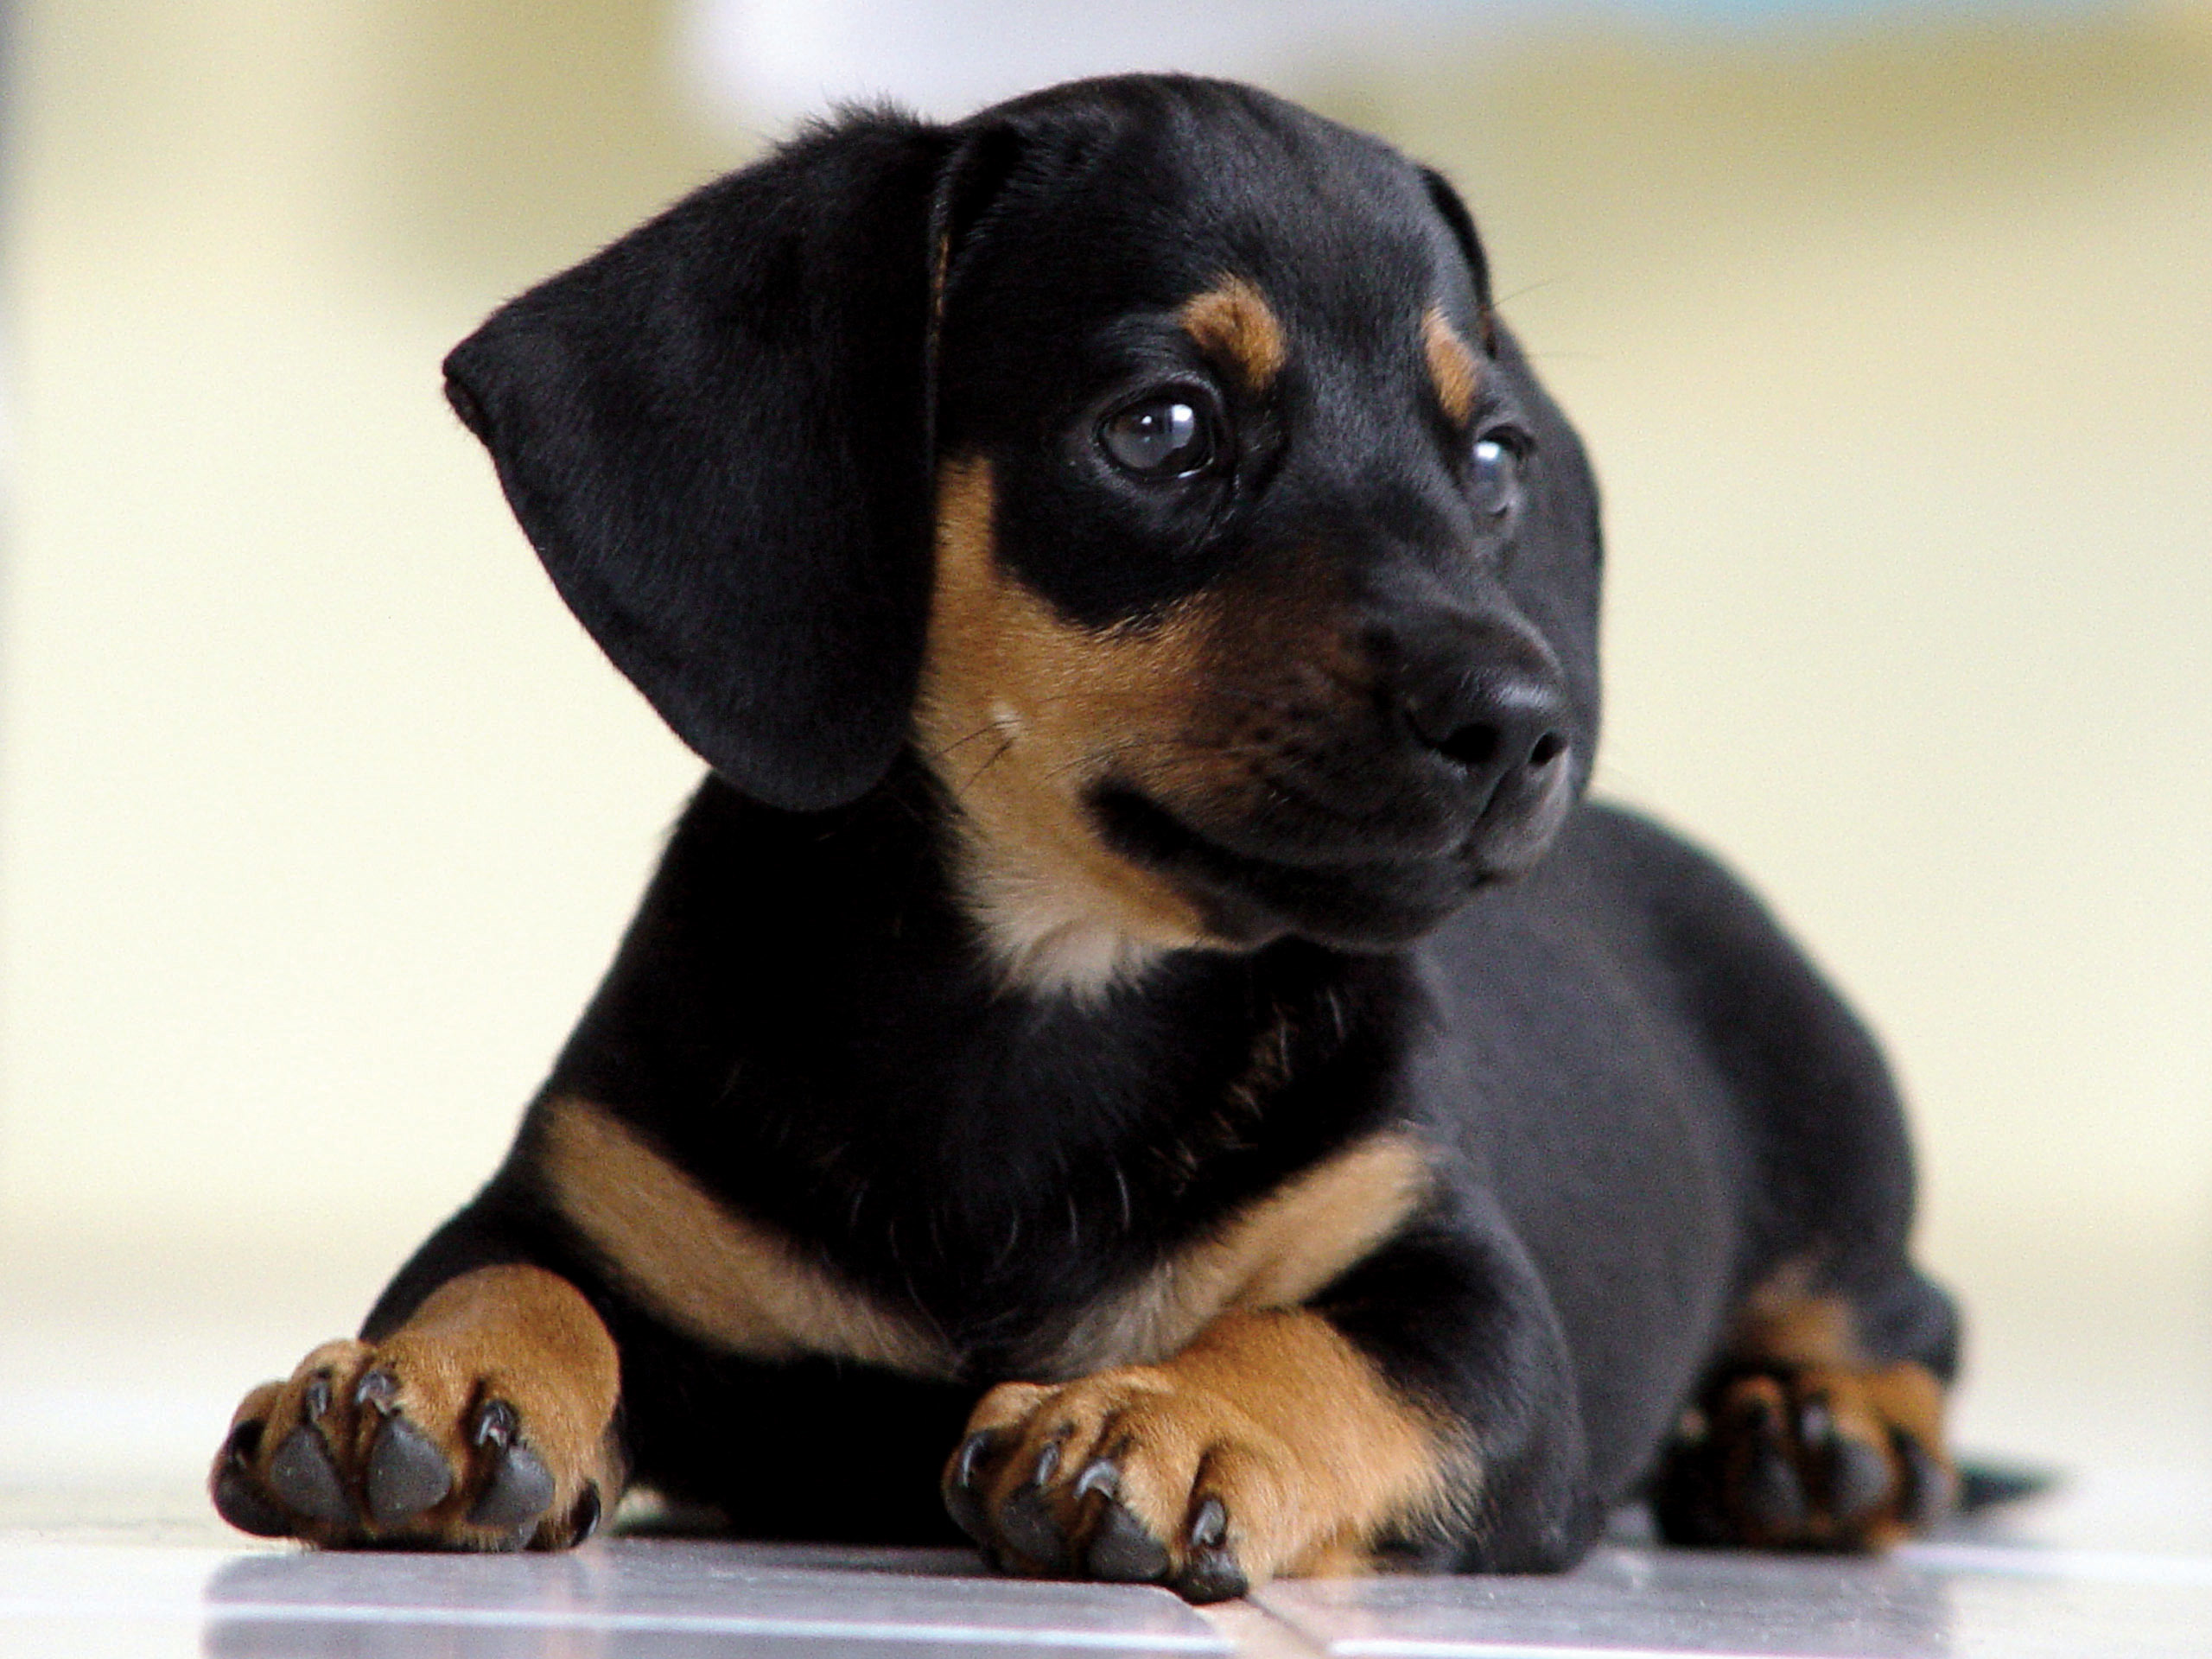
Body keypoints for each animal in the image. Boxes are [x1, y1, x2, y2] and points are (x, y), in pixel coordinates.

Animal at [215, 74, 1964, 1601]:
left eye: (1491, 457)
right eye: (1162, 427)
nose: (1526, 726)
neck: (1045, 999)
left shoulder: (1475, 1316)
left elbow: (1307, 1341)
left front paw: (1162, 1414)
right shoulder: (578, 1194)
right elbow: (510, 1274)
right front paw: (430, 1382)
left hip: (1836, 1159)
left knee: (1912, 1325)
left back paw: (1819, 1447)